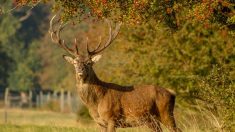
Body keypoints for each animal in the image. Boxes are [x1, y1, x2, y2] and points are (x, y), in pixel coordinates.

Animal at [49, 14, 178, 131]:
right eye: (75, 62)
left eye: (89, 63)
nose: (80, 70)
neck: (96, 104)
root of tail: (172, 92)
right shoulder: (100, 123)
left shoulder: (112, 118)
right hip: (151, 120)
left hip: (166, 114)